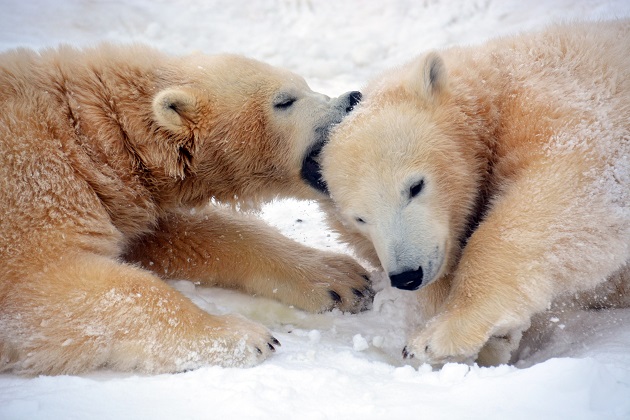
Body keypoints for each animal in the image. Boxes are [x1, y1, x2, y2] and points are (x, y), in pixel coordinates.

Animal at [0, 44, 370, 376]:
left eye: (306, 84)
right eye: (284, 100)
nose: (353, 98)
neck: (90, 137)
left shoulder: (123, 198)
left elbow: (190, 234)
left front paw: (342, 277)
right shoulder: (36, 184)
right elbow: (44, 283)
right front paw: (242, 336)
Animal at [324, 20, 630, 368]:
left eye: (416, 186)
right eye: (360, 219)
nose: (407, 276)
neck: (495, 91)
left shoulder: (565, 107)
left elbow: (566, 193)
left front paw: (436, 335)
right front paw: (496, 339)